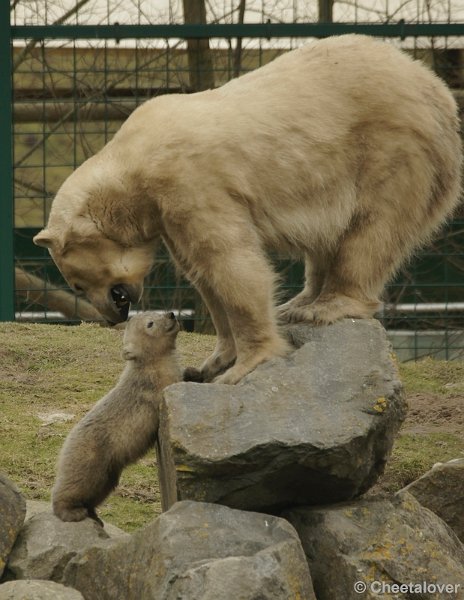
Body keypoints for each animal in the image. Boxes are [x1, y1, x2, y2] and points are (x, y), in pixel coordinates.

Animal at [33, 35, 460, 384]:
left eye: (76, 283)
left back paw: (325, 306)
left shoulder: (189, 183)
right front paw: (214, 360)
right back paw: (299, 302)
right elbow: (203, 273)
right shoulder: (168, 214)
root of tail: (438, 91)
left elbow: (230, 262)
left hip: (388, 146)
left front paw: (247, 363)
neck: (133, 169)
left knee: (371, 227)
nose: (112, 314)